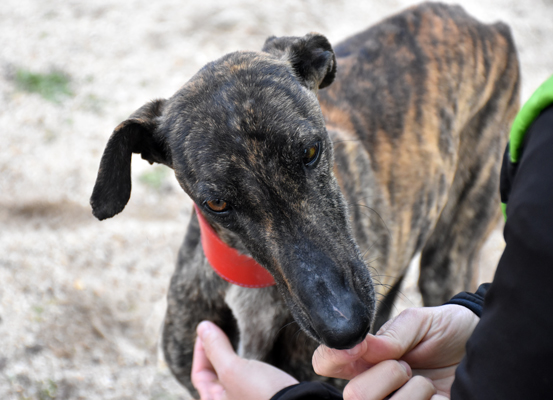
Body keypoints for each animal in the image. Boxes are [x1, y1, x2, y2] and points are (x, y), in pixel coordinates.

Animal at [90, 2, 519, 394]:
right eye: (216, 204)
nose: (345, 328)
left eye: (311, 151)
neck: (252, 284)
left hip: (451, 250)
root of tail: (483, 23)